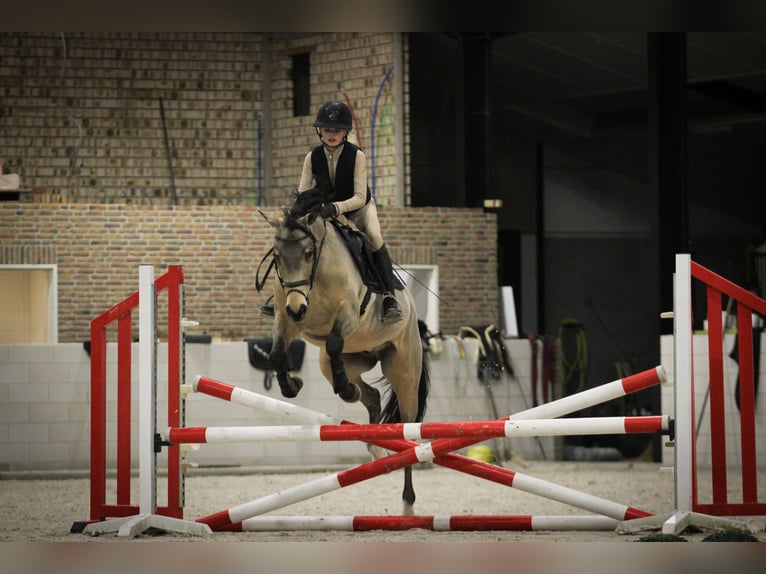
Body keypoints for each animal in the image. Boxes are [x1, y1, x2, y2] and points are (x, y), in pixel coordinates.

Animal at [258, 199, 432, 516]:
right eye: (276, 256)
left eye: (308, 253)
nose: (298, 308)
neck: (316, 275)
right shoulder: (286, 320)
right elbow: (277, 353)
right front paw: (292, 386)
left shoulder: (348, 315)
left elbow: (334, 340)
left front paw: (343, 390)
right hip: (348, 360)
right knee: (370, 394)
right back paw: (372, 440)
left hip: (403, 370)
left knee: (409, 432)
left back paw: (408, 503)